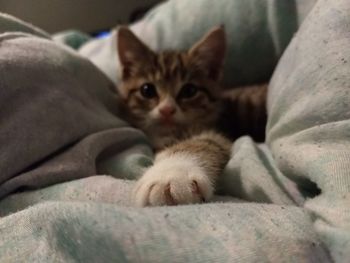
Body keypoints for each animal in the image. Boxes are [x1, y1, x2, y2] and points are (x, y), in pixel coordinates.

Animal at [116, 25, 266, 207]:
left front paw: (170, 174)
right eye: (147, 90)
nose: (167, 109)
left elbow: (206, 141)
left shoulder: (217, 130)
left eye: (189, 91)